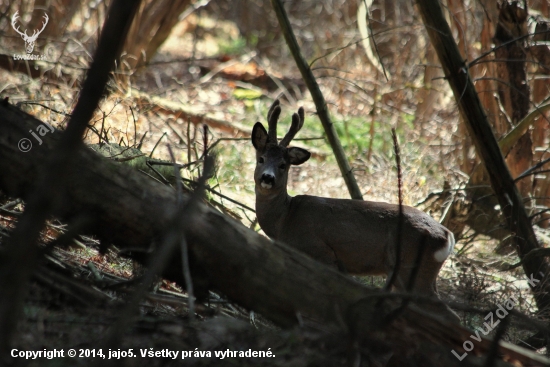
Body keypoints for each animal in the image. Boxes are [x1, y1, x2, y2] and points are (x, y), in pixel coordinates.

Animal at [252, 100, 460, 322]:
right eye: (261, 159)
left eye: (283, 165)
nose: (267, 178)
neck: (285, 219)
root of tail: (448, 235)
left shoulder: (321, 251)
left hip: (412, 269)